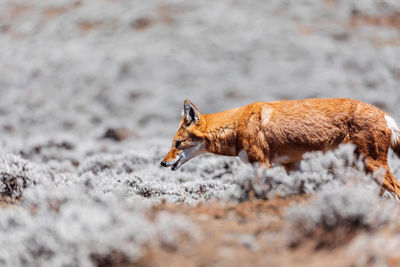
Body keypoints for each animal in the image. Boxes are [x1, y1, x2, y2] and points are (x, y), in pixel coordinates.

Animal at [161, 99, 400, 199]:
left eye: (177, 144)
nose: (162, 163)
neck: (238, 124)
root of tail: (384, 114)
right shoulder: (291, 166)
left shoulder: (263, 165)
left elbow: (253, 191)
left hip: (371, 166)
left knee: (396, 190)